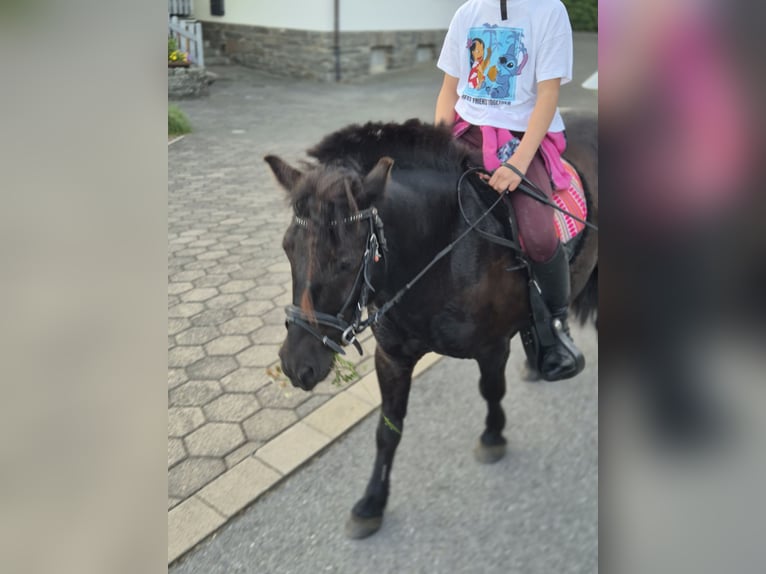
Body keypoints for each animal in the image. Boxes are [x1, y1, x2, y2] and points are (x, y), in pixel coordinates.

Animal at [268, 112, 600, 540]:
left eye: (346, 262)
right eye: (287, 248)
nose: (297, 364)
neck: (444, 246)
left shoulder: (492, 347)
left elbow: (491, 390)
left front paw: (493, 437)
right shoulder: (392, 356)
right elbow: (387, 430)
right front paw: (371, 503)